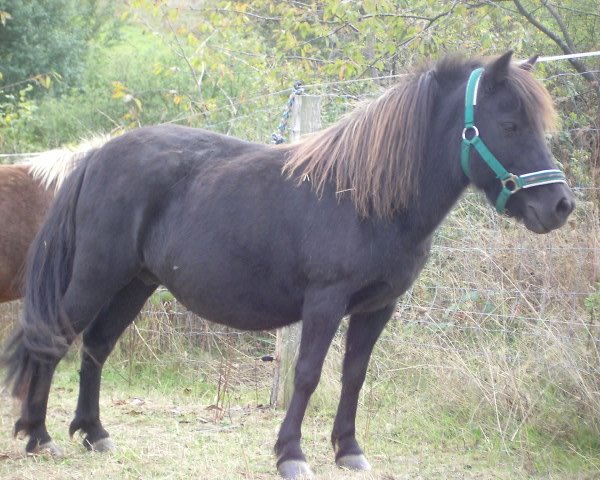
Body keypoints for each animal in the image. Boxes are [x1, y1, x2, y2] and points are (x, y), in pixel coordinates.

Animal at [1, 50, 576, 478]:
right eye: (509, 123)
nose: (560, 206)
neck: (365, 198)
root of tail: (97, 156)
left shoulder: (378, 308)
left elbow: (353, 375)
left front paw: (349, 450)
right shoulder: (324, 301)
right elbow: (306, 374)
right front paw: (291, 455)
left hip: (135, 283)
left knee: (96, 346)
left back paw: (93, 433)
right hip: (97, 276)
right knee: (51, 340)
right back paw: (39, 436)